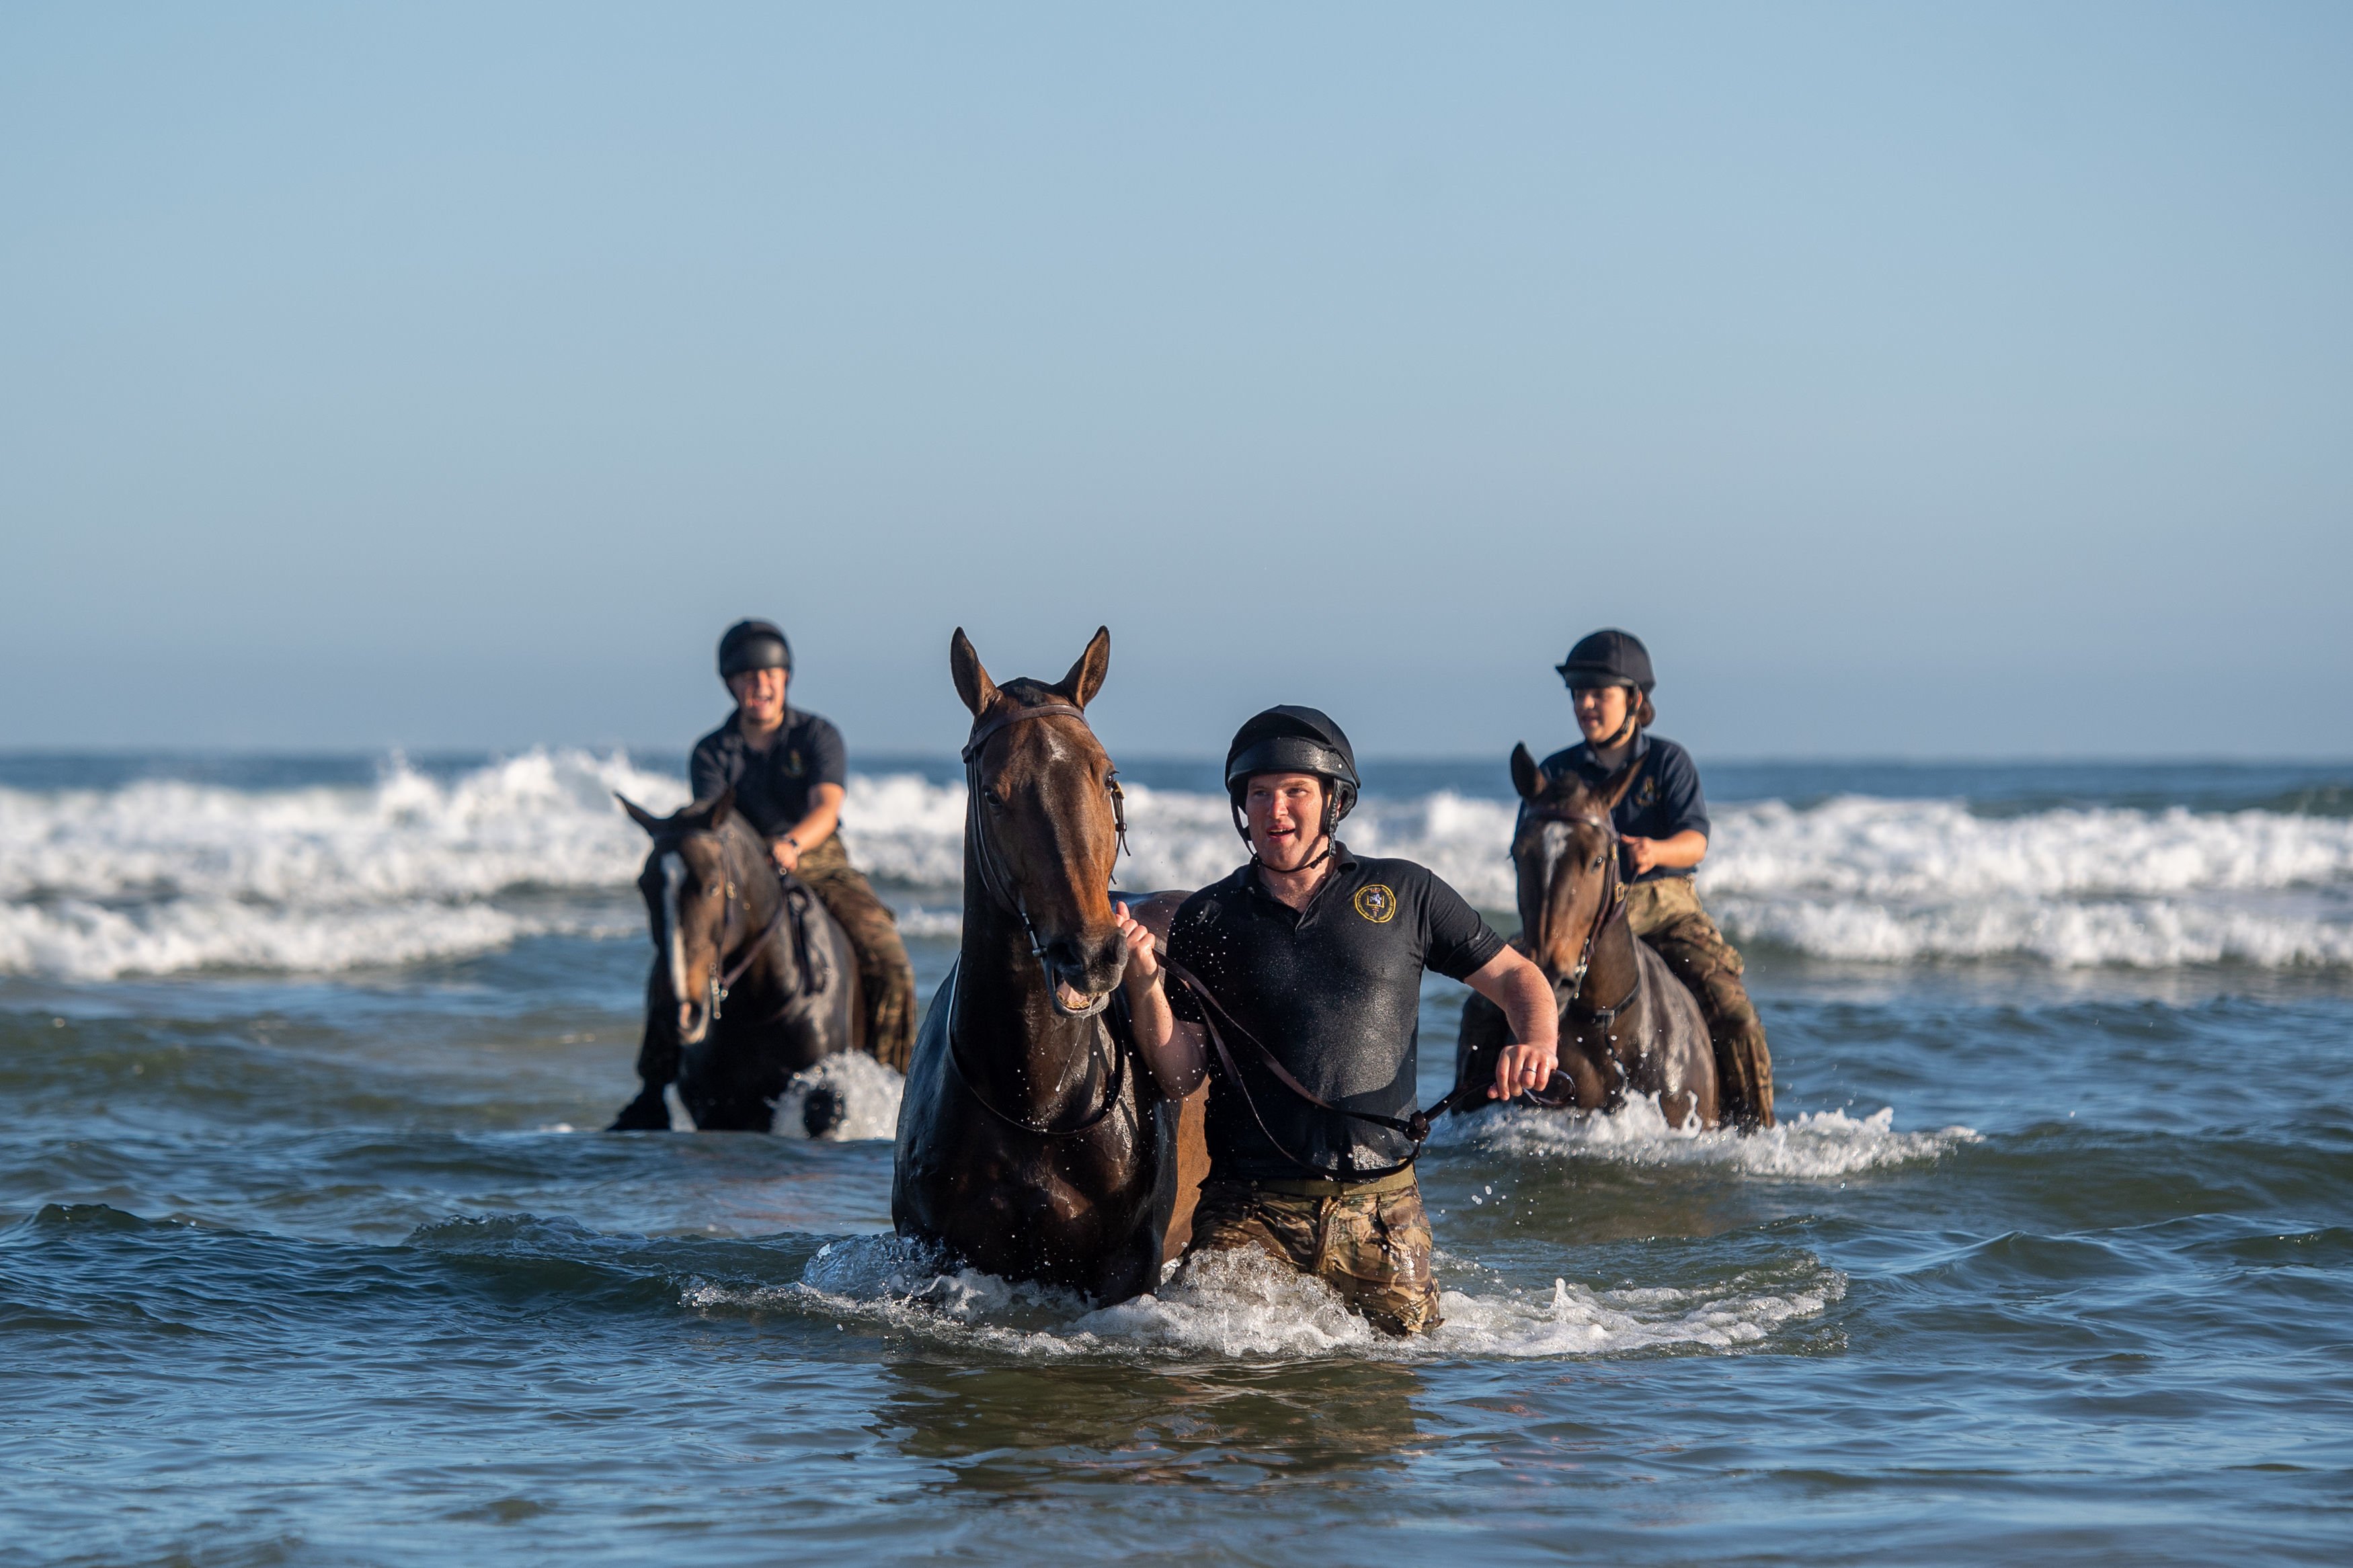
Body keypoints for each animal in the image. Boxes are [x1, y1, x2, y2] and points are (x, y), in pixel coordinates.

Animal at [606, 787, 865, 1136]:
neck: (759, 1007)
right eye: (644, 886)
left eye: (713, 886)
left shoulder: (821, 1101)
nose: (681, 1012)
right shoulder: (716, 1109)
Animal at [891, 626, 1201, 1304]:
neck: (1036, 1094)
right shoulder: (936, 1251)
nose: (1092, 954)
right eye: (993, 793)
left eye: (1107, 776)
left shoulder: (1126, 1266)